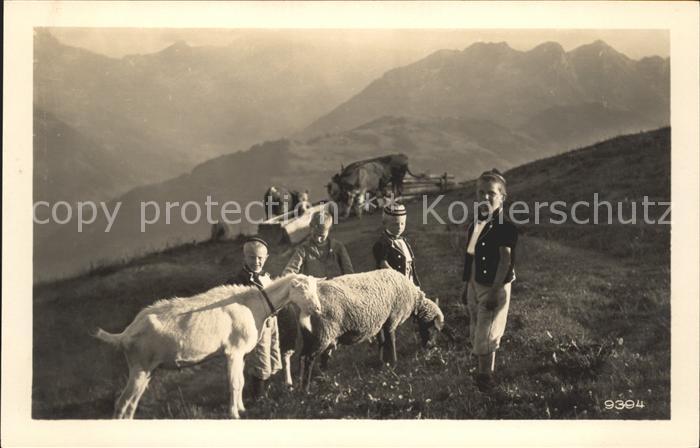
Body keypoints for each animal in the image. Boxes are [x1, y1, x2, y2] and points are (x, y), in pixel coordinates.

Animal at [92, 273, 321, 419]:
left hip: (147, 370)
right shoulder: (233, 351)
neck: (254, 304)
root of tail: (126, 333)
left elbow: (241, 381)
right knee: (122, 403)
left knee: (131, 403)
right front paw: (234, 414)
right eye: (302, 289)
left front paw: (242, 408)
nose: (317, 308)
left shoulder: (241, 355)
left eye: (315, 288)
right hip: (139, 366)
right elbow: (234, 383)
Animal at [297, 269, 444, 392]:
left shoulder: (380, 322)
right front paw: (394, 363)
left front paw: (382, 361)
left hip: (314, 335)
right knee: (308, 358)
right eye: (433, 329)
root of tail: (305, 306)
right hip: (323, 333)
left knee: (309, 357)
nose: (431, 347)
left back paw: (319, 379)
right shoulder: (392, 318)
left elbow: (382, 341)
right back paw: (305, 389)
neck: (414, 299)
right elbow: (392, 340)